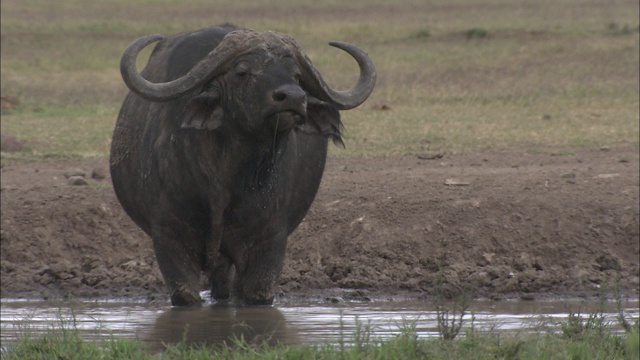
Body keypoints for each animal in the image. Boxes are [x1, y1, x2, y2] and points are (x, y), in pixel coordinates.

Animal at [111, 26, 376, 306]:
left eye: (295, 74)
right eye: (242, 71)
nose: (293, 97)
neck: (226, 177)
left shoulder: (269, 243)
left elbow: (257, 294)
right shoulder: (169, 239)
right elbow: (185, 294)